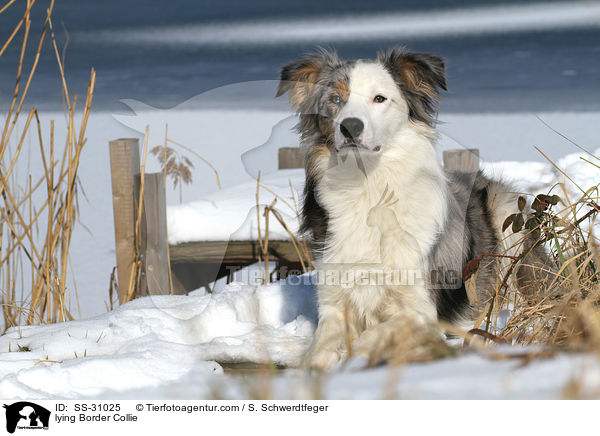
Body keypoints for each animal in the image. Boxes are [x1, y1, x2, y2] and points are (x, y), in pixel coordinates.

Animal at [276, 47, 548, 368]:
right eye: (335, 99)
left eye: (379, 98)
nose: (350, 126)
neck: (368, 185)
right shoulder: (333, 301)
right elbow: (317, 352)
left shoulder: (421, 311)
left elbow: (373, 336)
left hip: (504, 209)